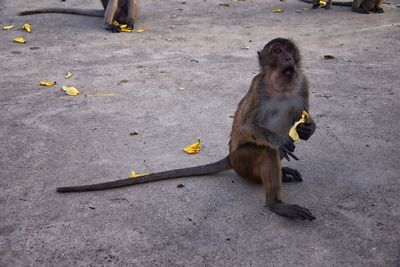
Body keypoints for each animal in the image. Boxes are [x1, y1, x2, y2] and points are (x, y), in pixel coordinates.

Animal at [57, 38, 318, 222]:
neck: (281, 86)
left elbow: (302, 117)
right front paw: (279, 140)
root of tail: (230, 158)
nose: (288, 58)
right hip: (242, 161)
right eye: (277, 52)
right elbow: (246, 126)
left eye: (288, 49)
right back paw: (275, 203)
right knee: (266, 152)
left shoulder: (303, 82)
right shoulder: (258, 87)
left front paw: (307, 128)